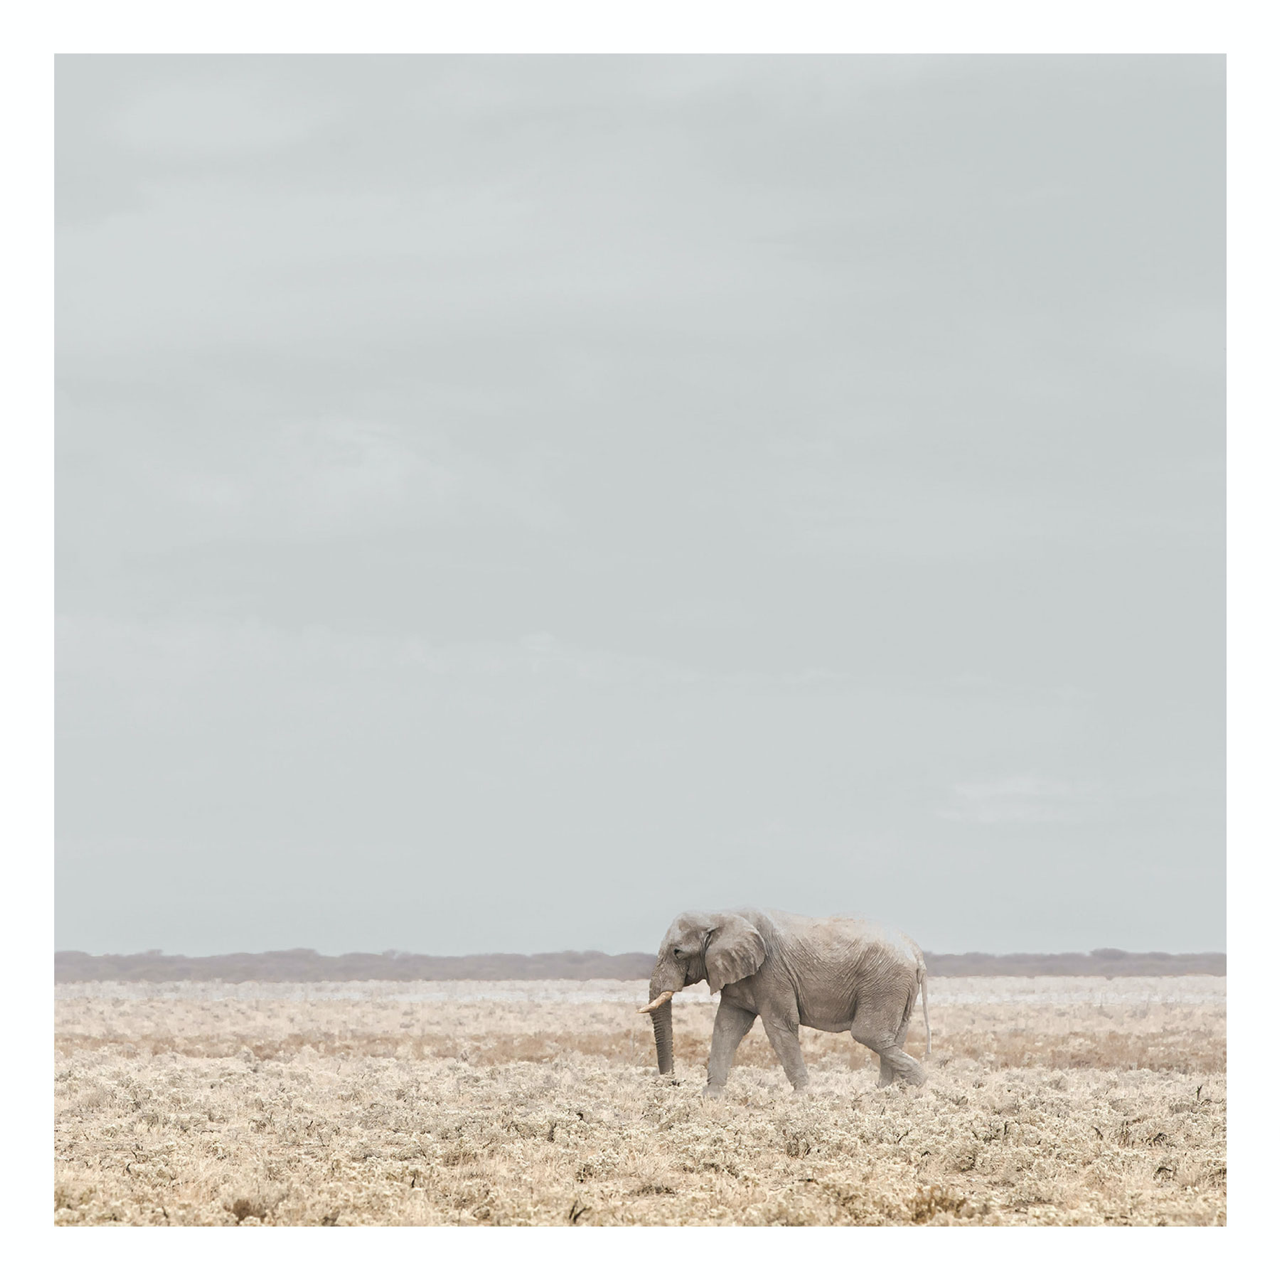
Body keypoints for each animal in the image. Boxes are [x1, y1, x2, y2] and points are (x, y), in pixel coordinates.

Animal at [639, 907, 931, 1094]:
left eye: (677, 952)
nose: (672, 1083)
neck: (721, 915)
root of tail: (916, 952)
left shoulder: (772, 972)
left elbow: (779, 1026)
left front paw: (803, 1097)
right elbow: (726, 1026)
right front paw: (711, 1096)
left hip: (885, 982)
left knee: (869, 1034)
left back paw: (915, 1086)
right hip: (897, 987)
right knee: (892, 1037)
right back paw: (885, 1094)